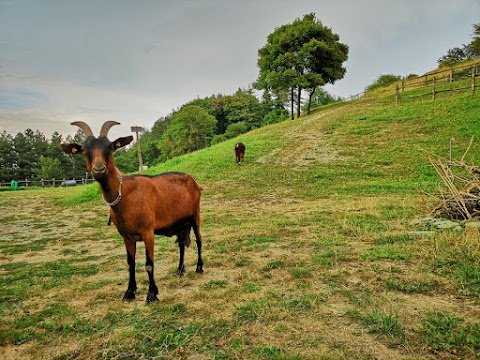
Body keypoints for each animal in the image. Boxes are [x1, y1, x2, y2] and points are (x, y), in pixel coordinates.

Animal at [61, 121, 203, 304]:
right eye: (84, 150)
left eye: (110, 147)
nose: (99, 169)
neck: (125, 196)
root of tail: (193, 181)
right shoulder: (126, 236)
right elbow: (130, 263)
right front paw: (129, 292)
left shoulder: (148, 231)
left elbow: (149, 264)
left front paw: (152, 294)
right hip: (179, 223)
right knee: (181, 244)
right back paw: (179, 270)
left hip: (195, 215)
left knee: (199, 240)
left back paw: (199, 268)